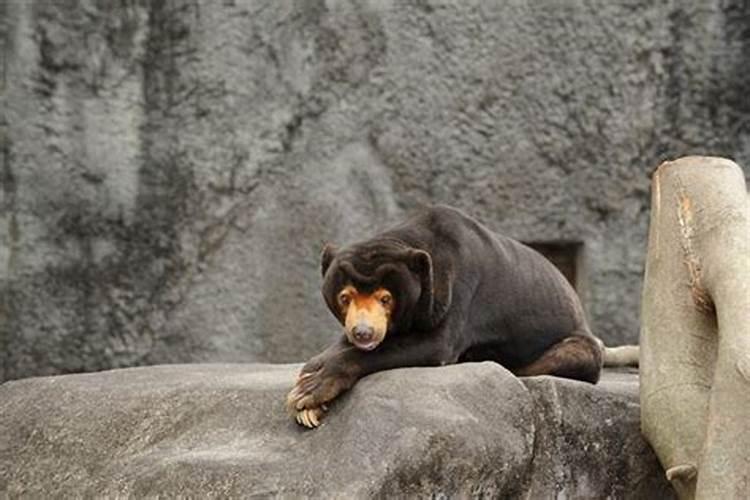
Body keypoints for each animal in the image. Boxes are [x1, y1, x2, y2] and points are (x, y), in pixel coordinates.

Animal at [288, 205, 636, 428]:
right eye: (344, 297)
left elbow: (435, 344)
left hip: (574, 341)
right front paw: (309, 388)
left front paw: (309, 391)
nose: (364, 333)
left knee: (570, 355)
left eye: (386, 298)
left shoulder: (461, 288)